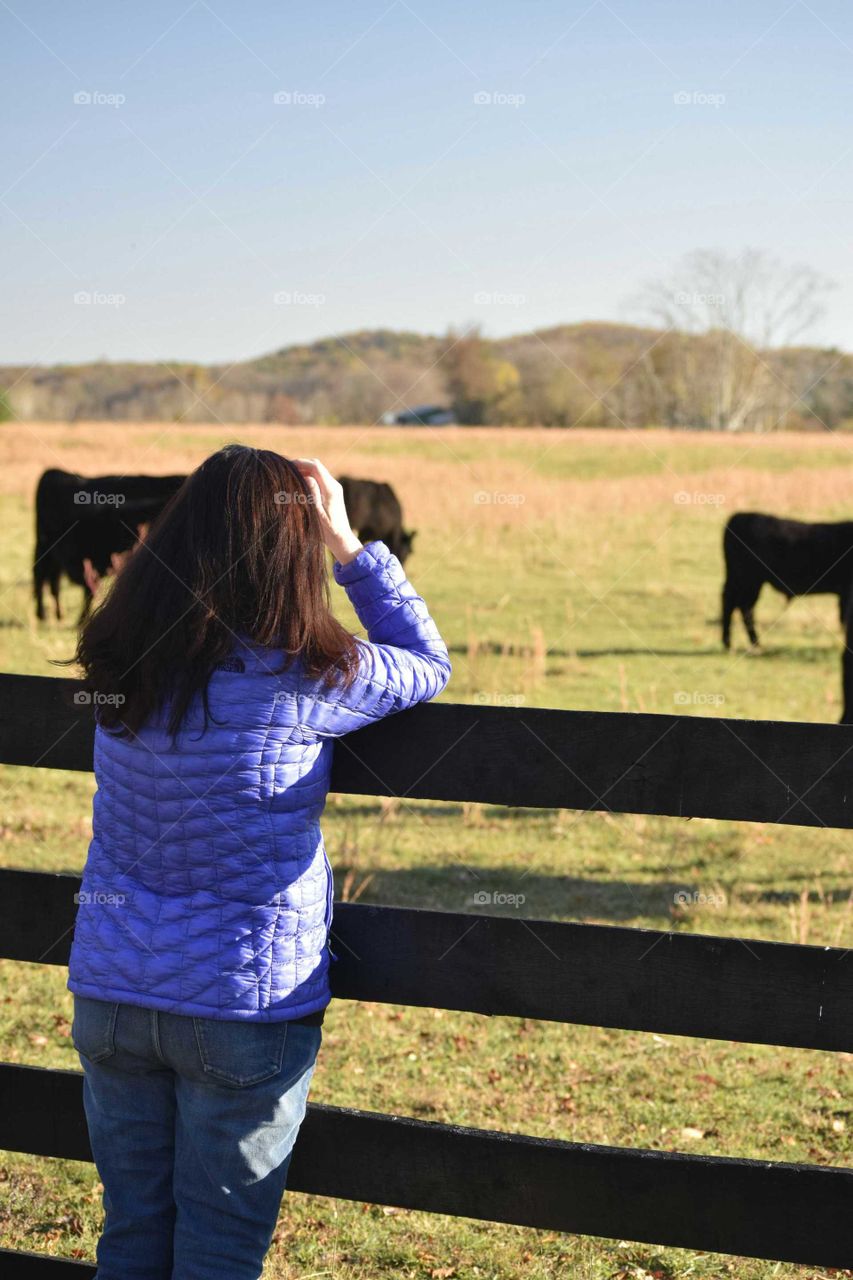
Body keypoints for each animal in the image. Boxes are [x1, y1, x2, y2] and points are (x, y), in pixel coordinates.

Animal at [722, 509, 850, 650]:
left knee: (738, 605)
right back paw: (746, 644)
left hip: (744, 580)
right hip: (748, 580)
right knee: (741, 606)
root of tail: (739, 516)